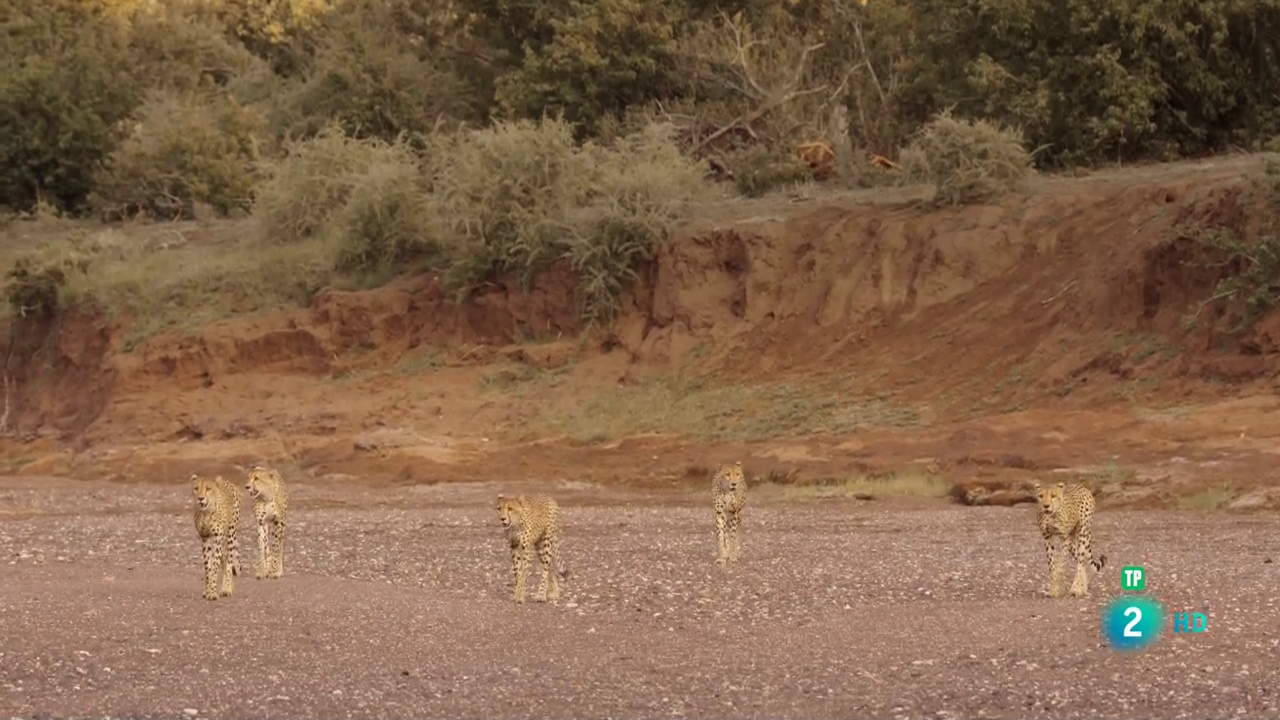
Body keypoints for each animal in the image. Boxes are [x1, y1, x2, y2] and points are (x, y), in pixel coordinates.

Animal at [190, 471, 240, 599]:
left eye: (208, 488)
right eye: (196, 488)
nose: (200, 498)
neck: (206, 513)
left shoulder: (218, 537)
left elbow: (215, 565)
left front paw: (212, 592)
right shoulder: (205, 538)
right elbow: (208, 567)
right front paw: (208, 590)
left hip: (231, 533)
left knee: (229, 560)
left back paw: (227, 588)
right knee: (224, 559)